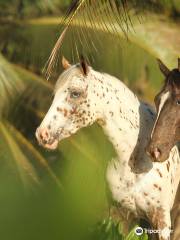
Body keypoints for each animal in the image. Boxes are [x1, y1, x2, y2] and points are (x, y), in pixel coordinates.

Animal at [35, 58, 180, 240]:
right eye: (54, 94)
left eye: (75, 93)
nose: (42, 134)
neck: (136, 164)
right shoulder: (120, 215)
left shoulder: (161, 221)